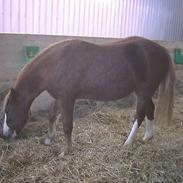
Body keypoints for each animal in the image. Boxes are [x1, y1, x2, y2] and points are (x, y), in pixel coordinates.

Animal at [1, 36, 174, 154]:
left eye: (7, 111)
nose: (4, 136)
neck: (55, 64)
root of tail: (163, 51)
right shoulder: (59, 97)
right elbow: (52, 116)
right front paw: (49, 139)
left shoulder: (68, 98)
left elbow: (67, 125)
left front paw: (66, 151)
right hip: (144, 93)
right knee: (150, 110)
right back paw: (148, 137)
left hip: (143, 92)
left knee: (139, 115)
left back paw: (128, 142)